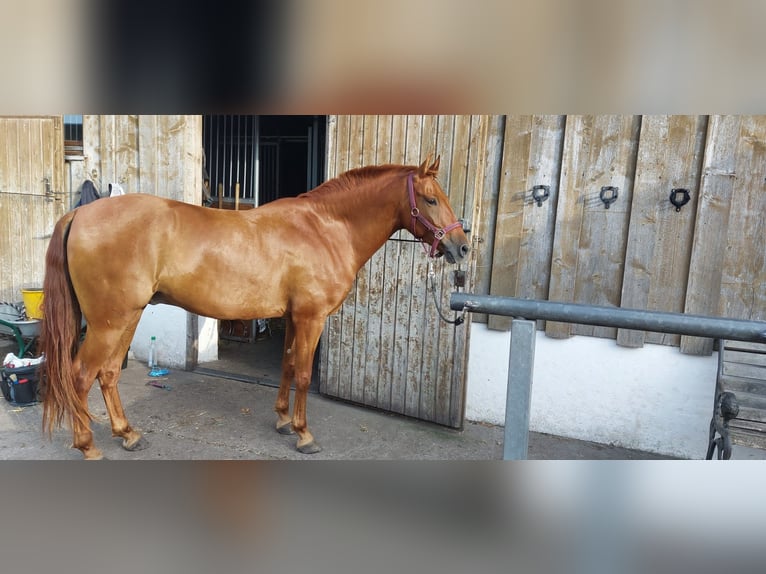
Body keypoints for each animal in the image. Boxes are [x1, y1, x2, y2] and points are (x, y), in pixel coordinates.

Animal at [39, 155, 472, 462]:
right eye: (431, 199)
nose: (462, 247)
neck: (325, 228)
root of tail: (80, 213)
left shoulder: (294, 317)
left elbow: (287, 365)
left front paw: (282, 420)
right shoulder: (311, 318)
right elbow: (303, 374)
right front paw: (304, 435)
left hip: (126, 317)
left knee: (108, 374)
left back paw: (128, 435)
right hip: (109, 322)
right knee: (80, 376)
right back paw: (88, 444)